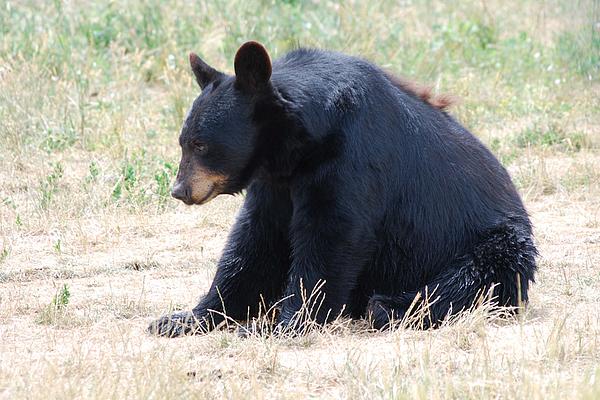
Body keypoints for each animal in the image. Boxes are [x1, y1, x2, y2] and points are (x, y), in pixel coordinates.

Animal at [149, 40, 540, 336]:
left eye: (201, 145)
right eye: (182, 142)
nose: (179, 190)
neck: (303, 146)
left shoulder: (352, 158)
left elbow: (332, 237)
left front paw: (279, 323)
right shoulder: (275, 183)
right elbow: (254, 242)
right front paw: (182, 318)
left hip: (495, 245)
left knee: (469, 280)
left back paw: (391, 306)